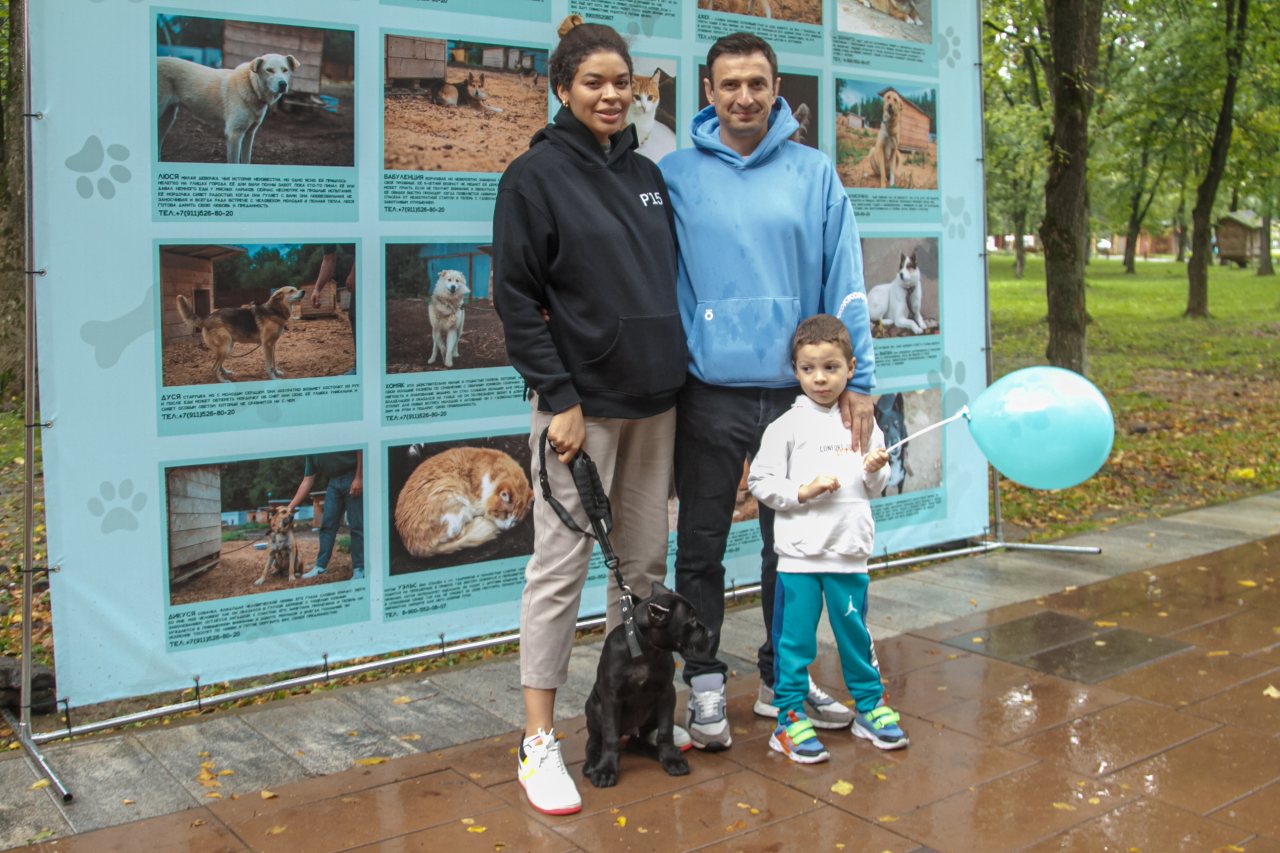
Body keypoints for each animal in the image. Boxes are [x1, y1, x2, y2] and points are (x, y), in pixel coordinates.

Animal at [583, 581, 716, 788]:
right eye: (692, 620)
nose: (711, 633)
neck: (645, 650)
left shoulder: (667, 693)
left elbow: (665, 731)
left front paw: (671, 759)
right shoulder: (612, 698)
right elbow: (610, 737)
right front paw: (605, 770)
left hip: (651, 714)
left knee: (636, 743)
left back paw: (662, 752)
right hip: (594, 708)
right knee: (595, 741)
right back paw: (592, 763)